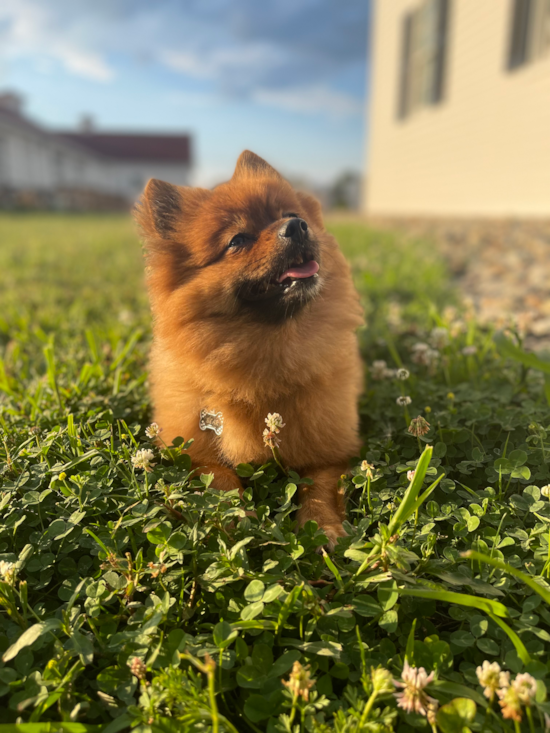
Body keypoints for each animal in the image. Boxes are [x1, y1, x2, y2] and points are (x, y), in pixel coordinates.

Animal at [135, 152, 364, 548]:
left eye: (289, 213)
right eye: (237, 240)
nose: (297, 226)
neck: (270, 349)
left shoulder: (330, 448)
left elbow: (319, 486)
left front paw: (322, 525)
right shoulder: (195, 454)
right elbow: (221, 481)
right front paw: (239, 520)